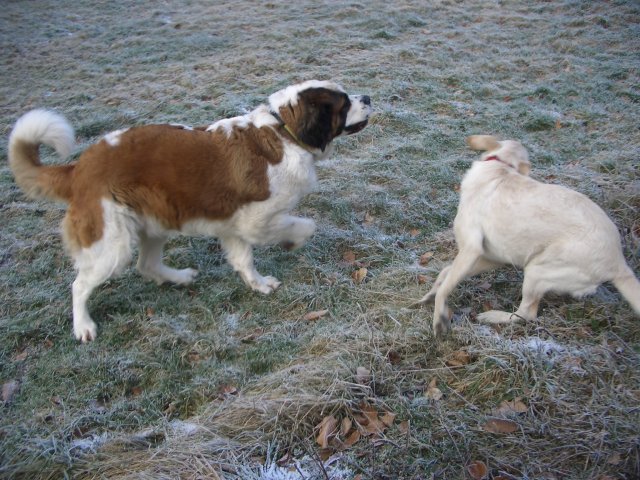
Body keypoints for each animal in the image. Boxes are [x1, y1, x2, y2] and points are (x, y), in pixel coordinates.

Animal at [8, 80, 372, 342]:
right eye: (343, 103)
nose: (367, 97)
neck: (284, 132)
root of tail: (79, 167)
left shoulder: (231, 224)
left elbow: (243, 259)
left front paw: (257, 284)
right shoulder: (254, 221)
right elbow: (303, 225)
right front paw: (292, 242)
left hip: (154, 221)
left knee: (146, 264)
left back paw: (179, 277)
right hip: (112, 244)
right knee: (80, 284)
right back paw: (83, 325)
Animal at [412, 135, 640, 337]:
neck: (501, 167)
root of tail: (618, 263)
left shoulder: (471, 250)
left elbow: (445, 287)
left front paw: (439, 318)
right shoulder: (491, 257)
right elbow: (444, 273)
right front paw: (427, 296)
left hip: (537, 270)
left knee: (526, 313)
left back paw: (492, 316)